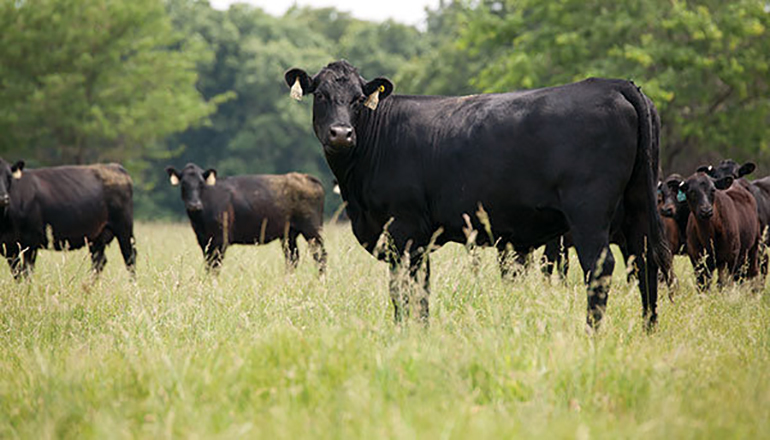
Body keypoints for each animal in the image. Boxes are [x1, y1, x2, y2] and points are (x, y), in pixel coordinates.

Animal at [0, 159, 135, 278]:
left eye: (9, 177)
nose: (4, 198)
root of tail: (115, 167)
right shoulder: (9, 246)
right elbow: (17, 273)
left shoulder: (30, 241)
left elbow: (27, 272)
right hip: (98, 236)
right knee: (99, 261)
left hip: (124, 229)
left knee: (130, 258)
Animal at [166, 163, 326, 274]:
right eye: (183, 184)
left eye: (201, 184)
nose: (194, 205)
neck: (200, 222)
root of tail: (307, 177)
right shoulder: (203, 240)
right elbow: (208, 266)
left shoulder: (220, 239)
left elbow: (215, 266)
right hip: (288, 234)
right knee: (292, 258)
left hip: (312, 229)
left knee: (320, 256)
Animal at [284, 60, 668, 328]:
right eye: (321, 95)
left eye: (359, 99)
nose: (341, 133)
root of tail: (613, 85)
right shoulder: (414, 238)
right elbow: (419, 290)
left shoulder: (403, 229)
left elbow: (404, 289)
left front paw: (404, 333)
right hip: (636, 205)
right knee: (647, 261)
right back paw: (648, 329)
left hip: (589, 211)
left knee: (601, 267)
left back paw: (593, 333)